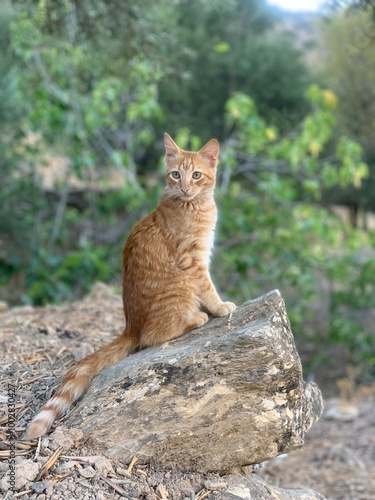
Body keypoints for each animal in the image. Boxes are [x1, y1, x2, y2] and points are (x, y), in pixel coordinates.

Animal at [27, 133, 236, 438]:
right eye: (176, 175)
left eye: (196, 175)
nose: (185, 188)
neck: (193, 204)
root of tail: (130, 327)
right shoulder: (192, 261)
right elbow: (208, 287)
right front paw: (220, 307)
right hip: (180, 286)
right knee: (152, 336)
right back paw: (196, 318)